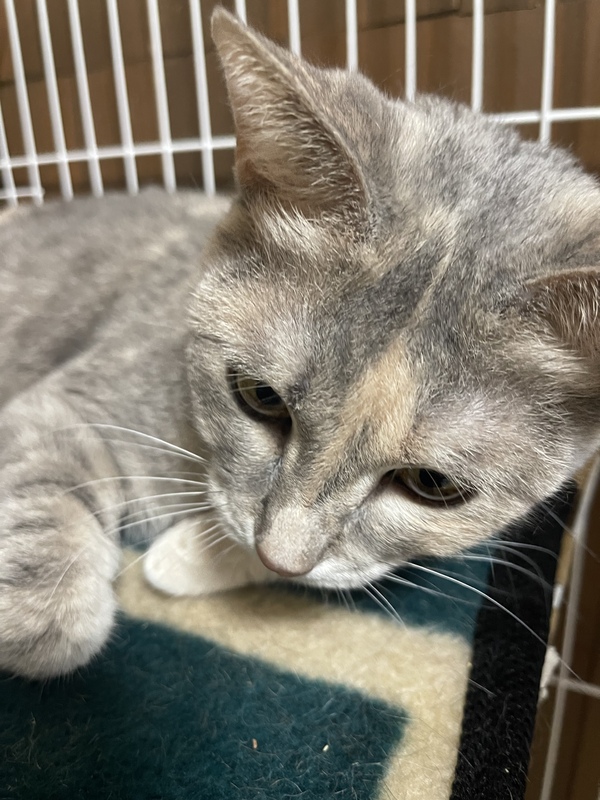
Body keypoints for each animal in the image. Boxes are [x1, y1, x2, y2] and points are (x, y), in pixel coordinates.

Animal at [1, 7, 599, 680]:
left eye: (434, 485)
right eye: (258, 396)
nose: (280, 555)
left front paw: (190, 557)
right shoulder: (73, 400)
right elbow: (44, 479)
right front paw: (46, 614)